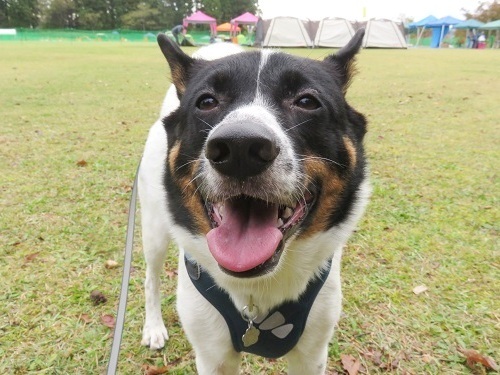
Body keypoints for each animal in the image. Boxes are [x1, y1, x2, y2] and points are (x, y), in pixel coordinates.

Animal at [139, 30, 370, 374]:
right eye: (206, 102)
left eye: (306, 101)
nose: (239, 148)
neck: (256, 294)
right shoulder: (212, 356)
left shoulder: (312, 354)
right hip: (153, 228)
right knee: (151, 277)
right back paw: (153, 326)